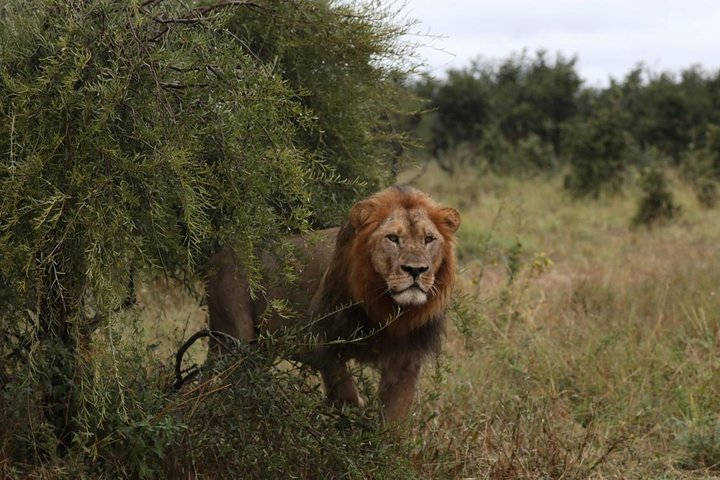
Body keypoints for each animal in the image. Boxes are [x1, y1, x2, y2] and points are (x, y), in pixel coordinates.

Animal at [207, 186, 462, 422]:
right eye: (392, 238)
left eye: (429, 239)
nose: (416, 270)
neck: (387, 307)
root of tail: (219, 253)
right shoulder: (318, 339)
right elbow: (344, 388)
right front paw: (354, 413)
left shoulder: (405, 362)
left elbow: (393, 419)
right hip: (234, 336)